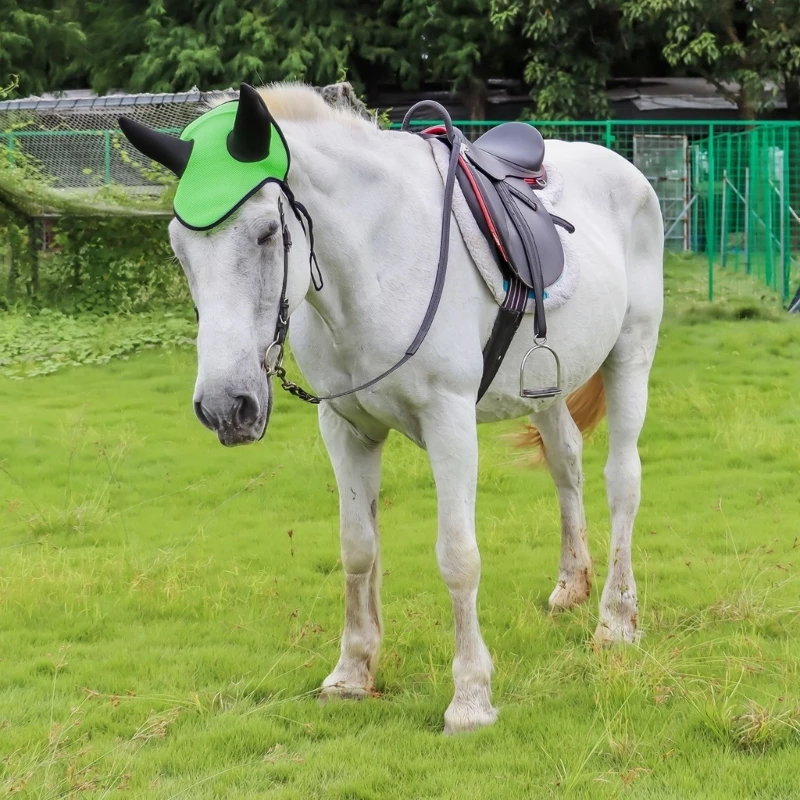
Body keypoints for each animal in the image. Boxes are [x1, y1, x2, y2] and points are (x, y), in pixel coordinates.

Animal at [161, 86, 664, 732]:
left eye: (268, 231)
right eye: (178, 247)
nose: (227, 406)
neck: (376, 260)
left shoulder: (449, 422)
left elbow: (457, 557)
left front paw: (471, 698)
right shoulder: (346, 429)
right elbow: (357, 549)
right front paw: (352, 673)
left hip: (631, 354)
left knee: (622, 480)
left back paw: (616, 619)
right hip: (546, 387)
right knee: (566, 464)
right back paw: (571, 586)